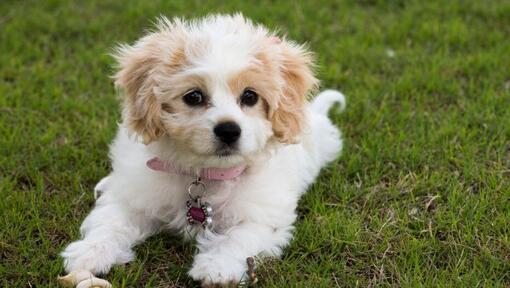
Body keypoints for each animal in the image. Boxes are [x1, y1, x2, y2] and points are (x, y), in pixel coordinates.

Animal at [60, 14, 346, 288]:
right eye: (194, 96)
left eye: (250, 96)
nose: (228, 130)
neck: (206, 173)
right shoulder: (135, 196)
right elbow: (111, 220)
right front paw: (90, 252)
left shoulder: (264, 217)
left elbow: (239, 237)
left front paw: (217, 268)